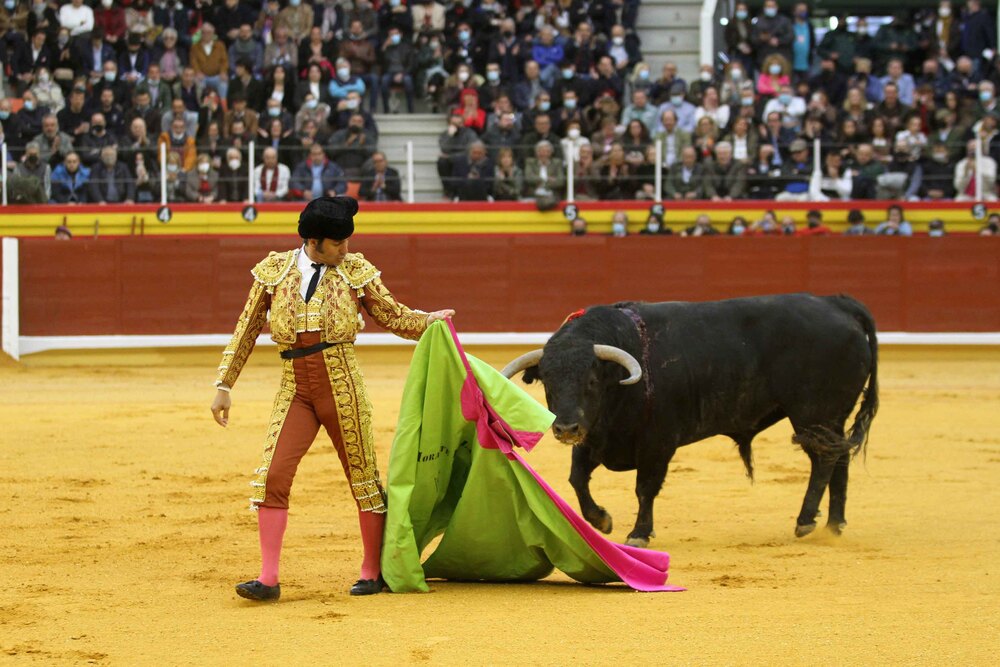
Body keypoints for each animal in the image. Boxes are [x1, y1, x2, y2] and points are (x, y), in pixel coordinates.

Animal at [500, 294, 876, 544]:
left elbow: (645, 487)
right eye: (547, 382)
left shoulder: (657, 444)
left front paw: (639, 533)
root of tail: (837, 303)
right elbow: (577, 478)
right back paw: (834, 524)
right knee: (840, 457)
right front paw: (602, 520)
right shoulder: (597, 438)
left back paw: (806, 521)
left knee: (823, 460)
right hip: (832, 418)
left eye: (590, 381)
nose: (565, 428)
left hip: (814, 414)